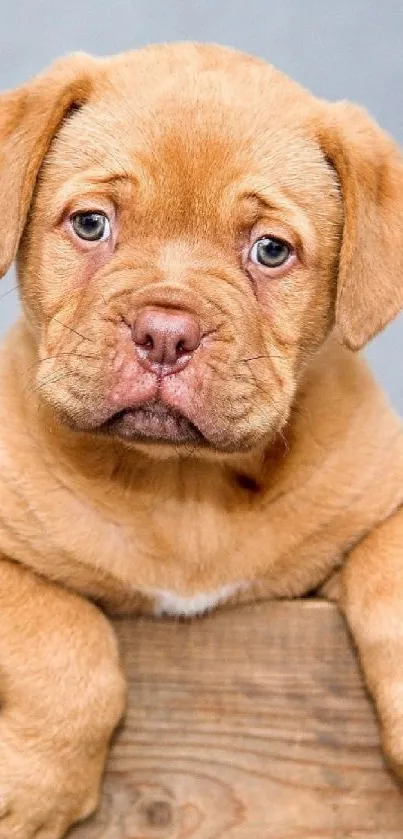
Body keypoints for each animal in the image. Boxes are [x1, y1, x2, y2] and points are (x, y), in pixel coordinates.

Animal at [0, 44, 403, 839]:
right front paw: (33, 786)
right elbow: (61, 636)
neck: (180, 484)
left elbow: (391, 568)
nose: (165, 333)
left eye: (271, 250)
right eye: (90, 224)